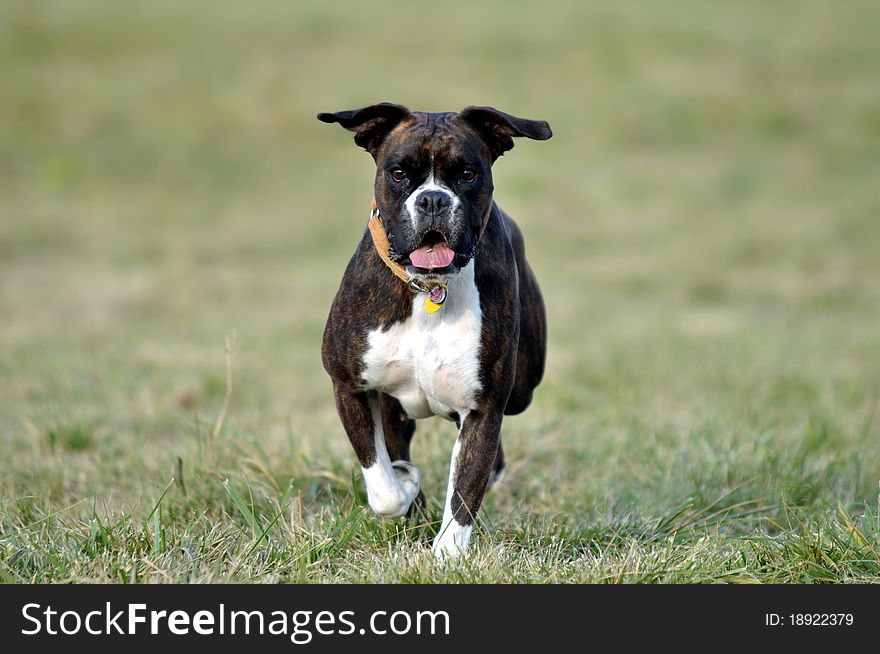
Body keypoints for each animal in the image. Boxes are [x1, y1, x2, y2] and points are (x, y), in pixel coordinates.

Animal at [316, 102, 552, 560]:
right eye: (398, 173)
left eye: (467, 174)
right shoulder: (349, 386)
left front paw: (447, 556)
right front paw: (406, 485)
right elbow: (383, 484)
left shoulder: (483, 408)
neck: (429, 288)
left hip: (521, 389)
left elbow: (465, 488)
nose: (432, 199)